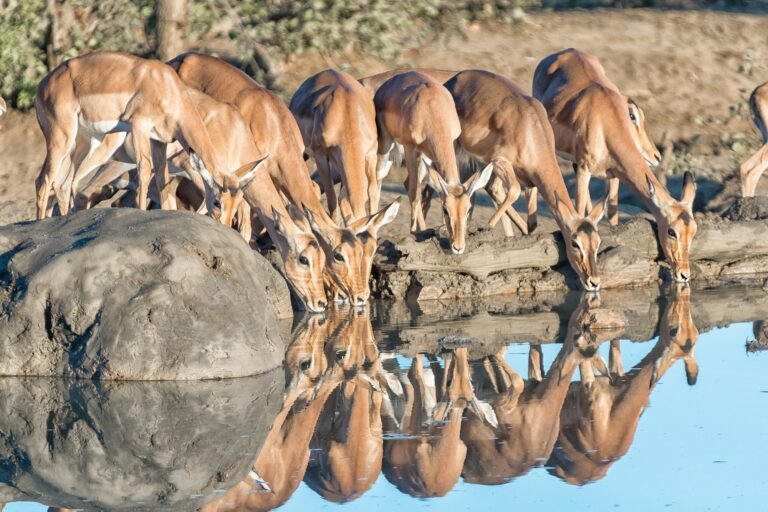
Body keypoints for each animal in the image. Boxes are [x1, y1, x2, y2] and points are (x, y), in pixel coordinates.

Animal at [34, 51, 232, 219]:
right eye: (217, 203)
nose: (221, 222)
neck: (167, 86)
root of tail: (42, 86)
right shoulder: (139, 126)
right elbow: (144, 169)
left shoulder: (159, 141)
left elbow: (162, 178)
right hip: (62, 139)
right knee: (44, 181)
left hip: (81, 145)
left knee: (62, 184)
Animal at [374, 71, 492, 254]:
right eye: (445, 210)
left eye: (467, 210)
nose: (458, 247)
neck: (432, 110)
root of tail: (387, 85)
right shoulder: (410, 148)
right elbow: (415, 193)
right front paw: (413, 233)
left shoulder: (451, 143)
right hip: (387, 144)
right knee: (378, 180)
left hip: (426, 156)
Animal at [445, 69, 607, 290]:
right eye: (575, 243)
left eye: (598, 242)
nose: (594, 281)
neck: (531, 130)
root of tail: (455, 78)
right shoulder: (500, 161)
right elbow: (513, 191)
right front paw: (486, 227)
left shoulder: (531, 182)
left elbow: (533, 222)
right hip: (457, 150)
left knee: (489, 187)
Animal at [533, 48, 697, 282]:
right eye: (671, 231)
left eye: (694, 231)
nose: (684, 274)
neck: (606, 121)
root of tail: (563, 52)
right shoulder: (584, 171)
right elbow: (578, 209)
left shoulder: (615, 175)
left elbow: (612, 215)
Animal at [550, 285, 699, 485]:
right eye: (674, 331)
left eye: (695, 335)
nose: (683, 296)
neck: (611, 427)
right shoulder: (588, 382)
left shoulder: (615, 374)